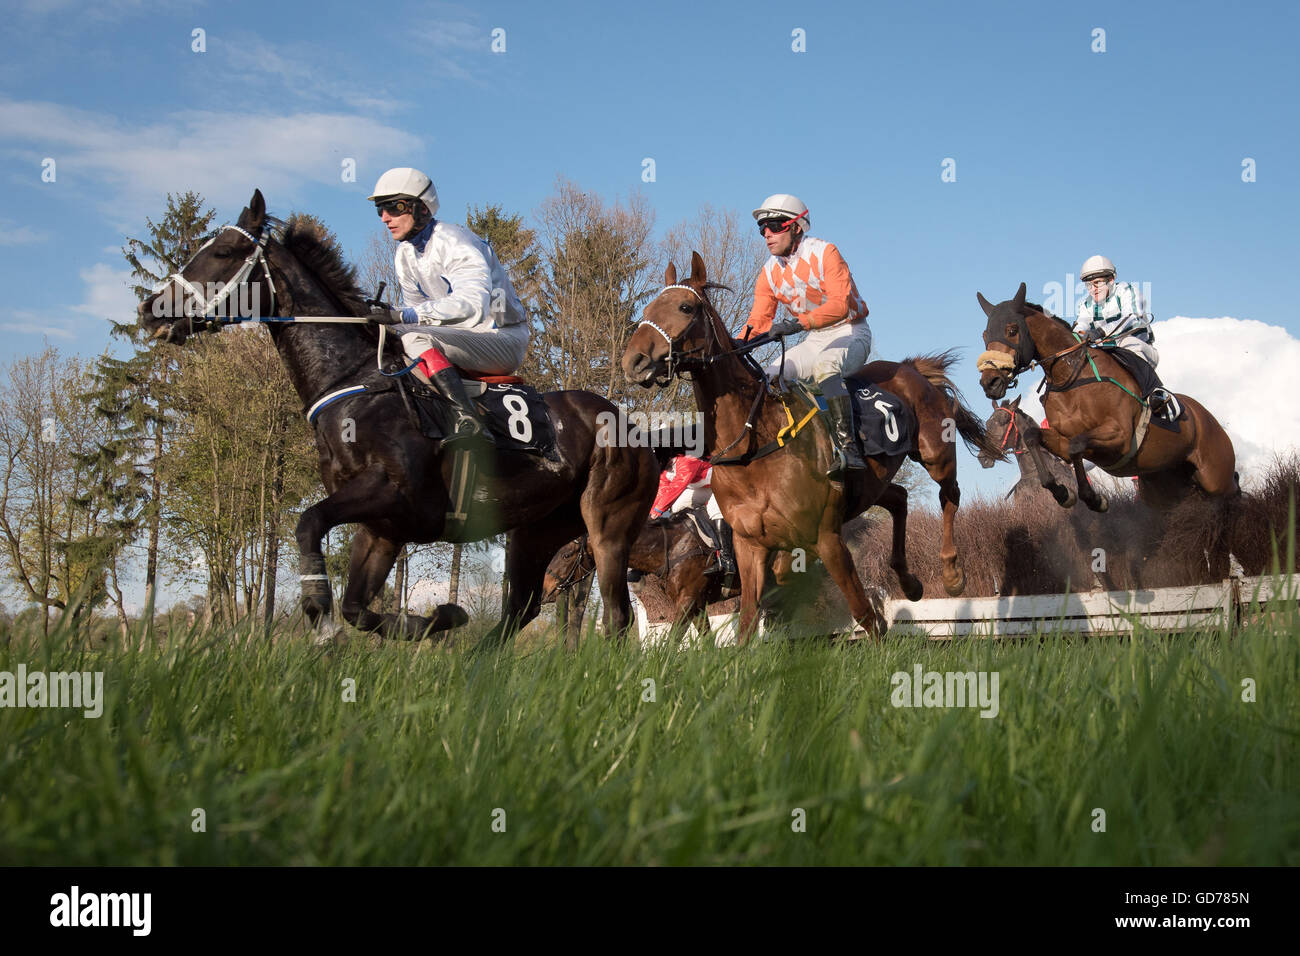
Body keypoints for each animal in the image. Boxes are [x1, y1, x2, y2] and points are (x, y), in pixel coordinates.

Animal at [139, 189, 660, 647]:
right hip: (536, 528)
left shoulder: (391, 495)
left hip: (607, 526)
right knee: (522, 608)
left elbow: (308, 523)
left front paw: (319, 615)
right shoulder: (381, 527)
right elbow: (357, 608)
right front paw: (436, 619)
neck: (354, 384)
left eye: (224, 251)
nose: (150, 309)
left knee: (615, 615)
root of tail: (630, 424)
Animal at [618, 252, 993, 642]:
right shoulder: (749, 546)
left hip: (934, 452)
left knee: (949, 494)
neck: (755, 445)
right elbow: (748, 622)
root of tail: (909, 368)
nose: (634, 361)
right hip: (870, 485)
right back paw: (910, 582)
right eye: (649, 307)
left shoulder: (826, 538)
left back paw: (952, 573)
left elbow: (866, 614)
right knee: (899, 497)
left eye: (685, 306)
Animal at [977, 282, 1237, 512]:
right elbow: (1035, 437)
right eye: (985, 334)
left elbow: (1077, 444)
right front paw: (1063, 493)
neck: (1071, 377)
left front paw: (1094, 499)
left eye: (1012, 330)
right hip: (1163, 487)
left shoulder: (1119, 435)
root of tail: (1207, 417)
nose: (990, 382)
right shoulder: (1061, 440)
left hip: (1216, 478)